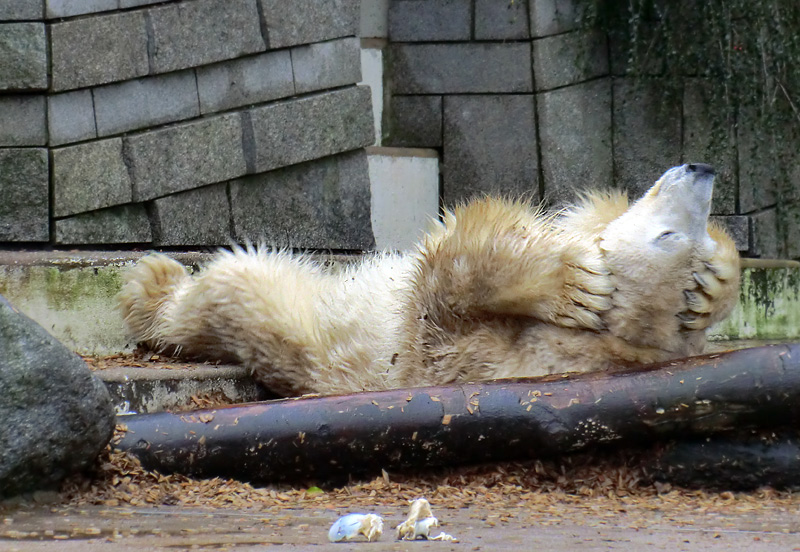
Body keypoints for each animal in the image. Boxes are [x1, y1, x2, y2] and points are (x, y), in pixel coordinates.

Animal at [122, 164, 740, 396]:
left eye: (668, 238)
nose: (702, 170)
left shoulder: (451, 354)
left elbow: (443, 279)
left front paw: (571, 282)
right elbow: (586, 215)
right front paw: (715, 284)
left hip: (302, 329)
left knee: (241, 287)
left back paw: (152, 284)